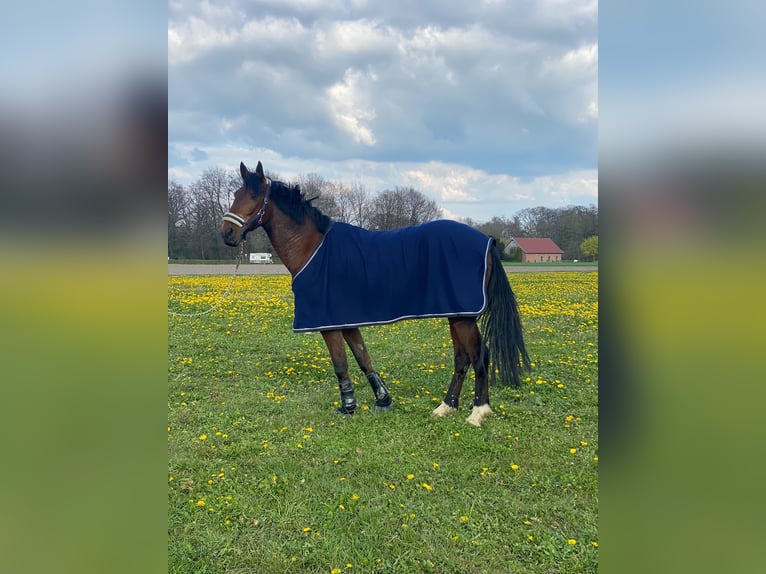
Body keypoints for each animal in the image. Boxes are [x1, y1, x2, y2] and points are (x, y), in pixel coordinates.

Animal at [222, 162, 536, 428]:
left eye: (254, 195)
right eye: (236, 193)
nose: (227, 233)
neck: (313, 247)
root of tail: (487, 241)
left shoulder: (329, 323)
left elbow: (340, 364)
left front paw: (347, 407)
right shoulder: (346, 321)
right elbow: (363, 358)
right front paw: (382, 400)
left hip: (463, 317)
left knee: (479, 356)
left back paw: (478, 412)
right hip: (456, 315)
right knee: (462, 359)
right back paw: (445, 407)